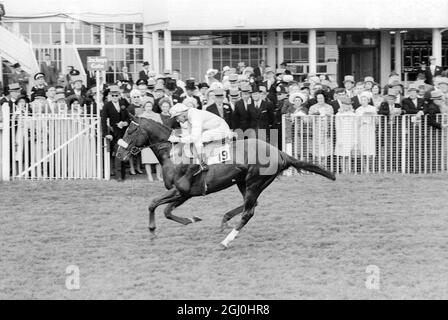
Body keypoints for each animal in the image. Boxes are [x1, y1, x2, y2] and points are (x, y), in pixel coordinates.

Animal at [117, 117, 334, 248]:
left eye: (130, 131)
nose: (119, 153)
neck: (173, 153)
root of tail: (278, 152)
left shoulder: (182, 190)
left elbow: (154, 204)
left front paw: (153, 231)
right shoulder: (185, 194)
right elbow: (166, 211)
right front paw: (190, 220)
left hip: (255, 182)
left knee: (249, 212)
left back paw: (226, 241)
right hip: (244, 182)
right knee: (252, 204)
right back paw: (225, 219)